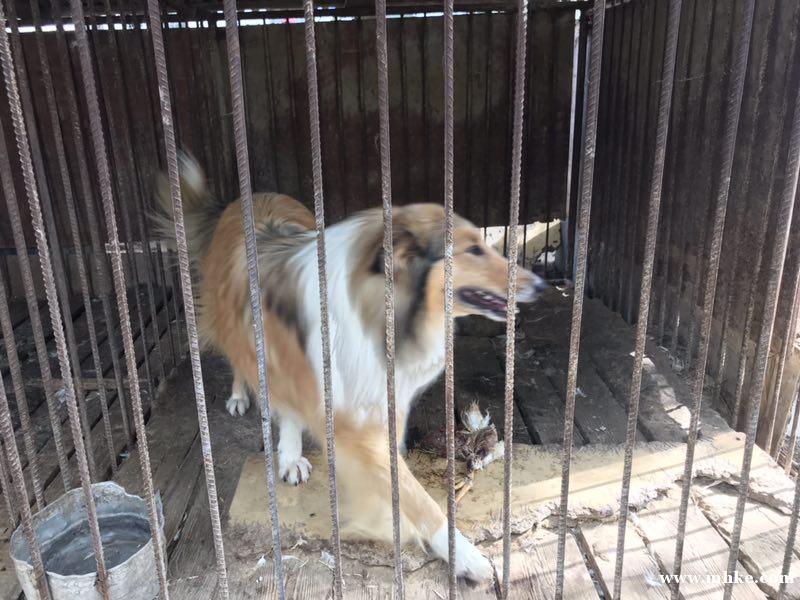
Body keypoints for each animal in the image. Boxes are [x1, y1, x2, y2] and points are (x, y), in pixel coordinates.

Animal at [153, 153, 547, 582]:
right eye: (473, 249)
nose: (542, 287)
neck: (381, 312)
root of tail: (253, 195)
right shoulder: (349, 421)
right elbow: (416, 499)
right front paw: (466, 556)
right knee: (243, 363)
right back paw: (244, 400)